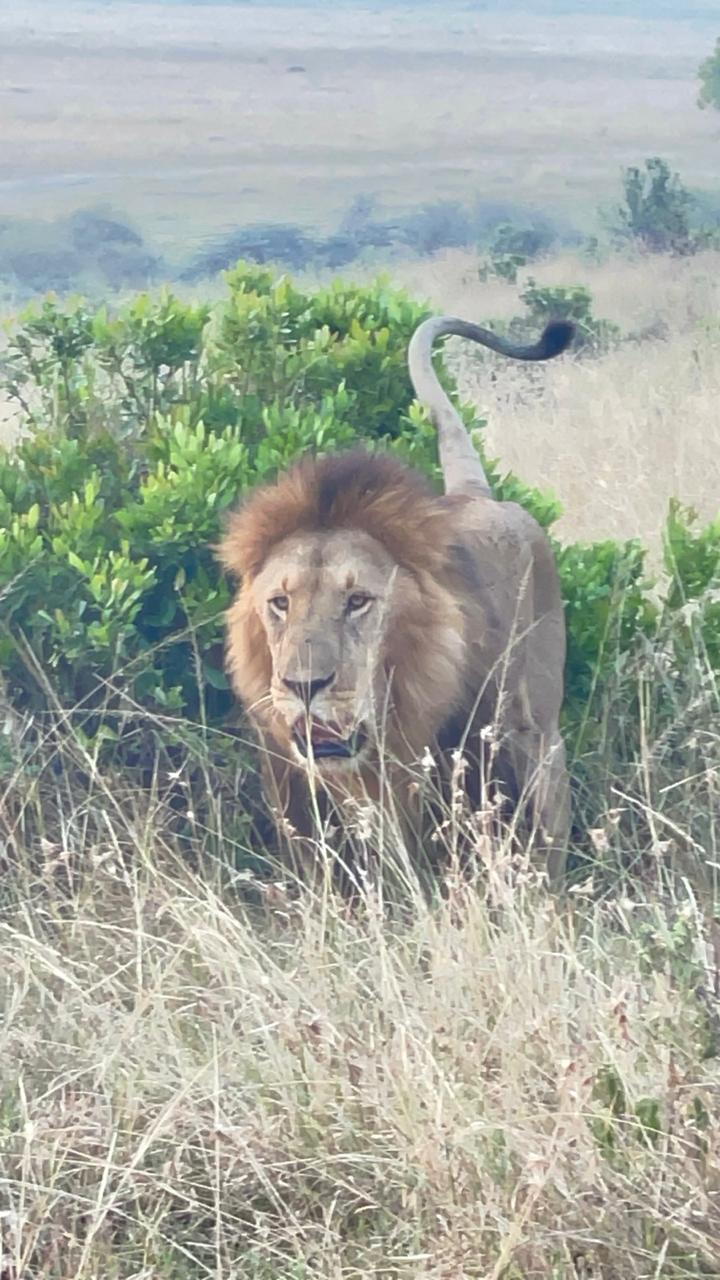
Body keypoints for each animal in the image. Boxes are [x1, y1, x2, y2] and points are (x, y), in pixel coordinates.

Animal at [218, 313, 575, 886]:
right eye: (280, 603)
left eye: (358, 601)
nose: (304, 686)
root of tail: (474, 496)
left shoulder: (471, 761)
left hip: (539, 735)